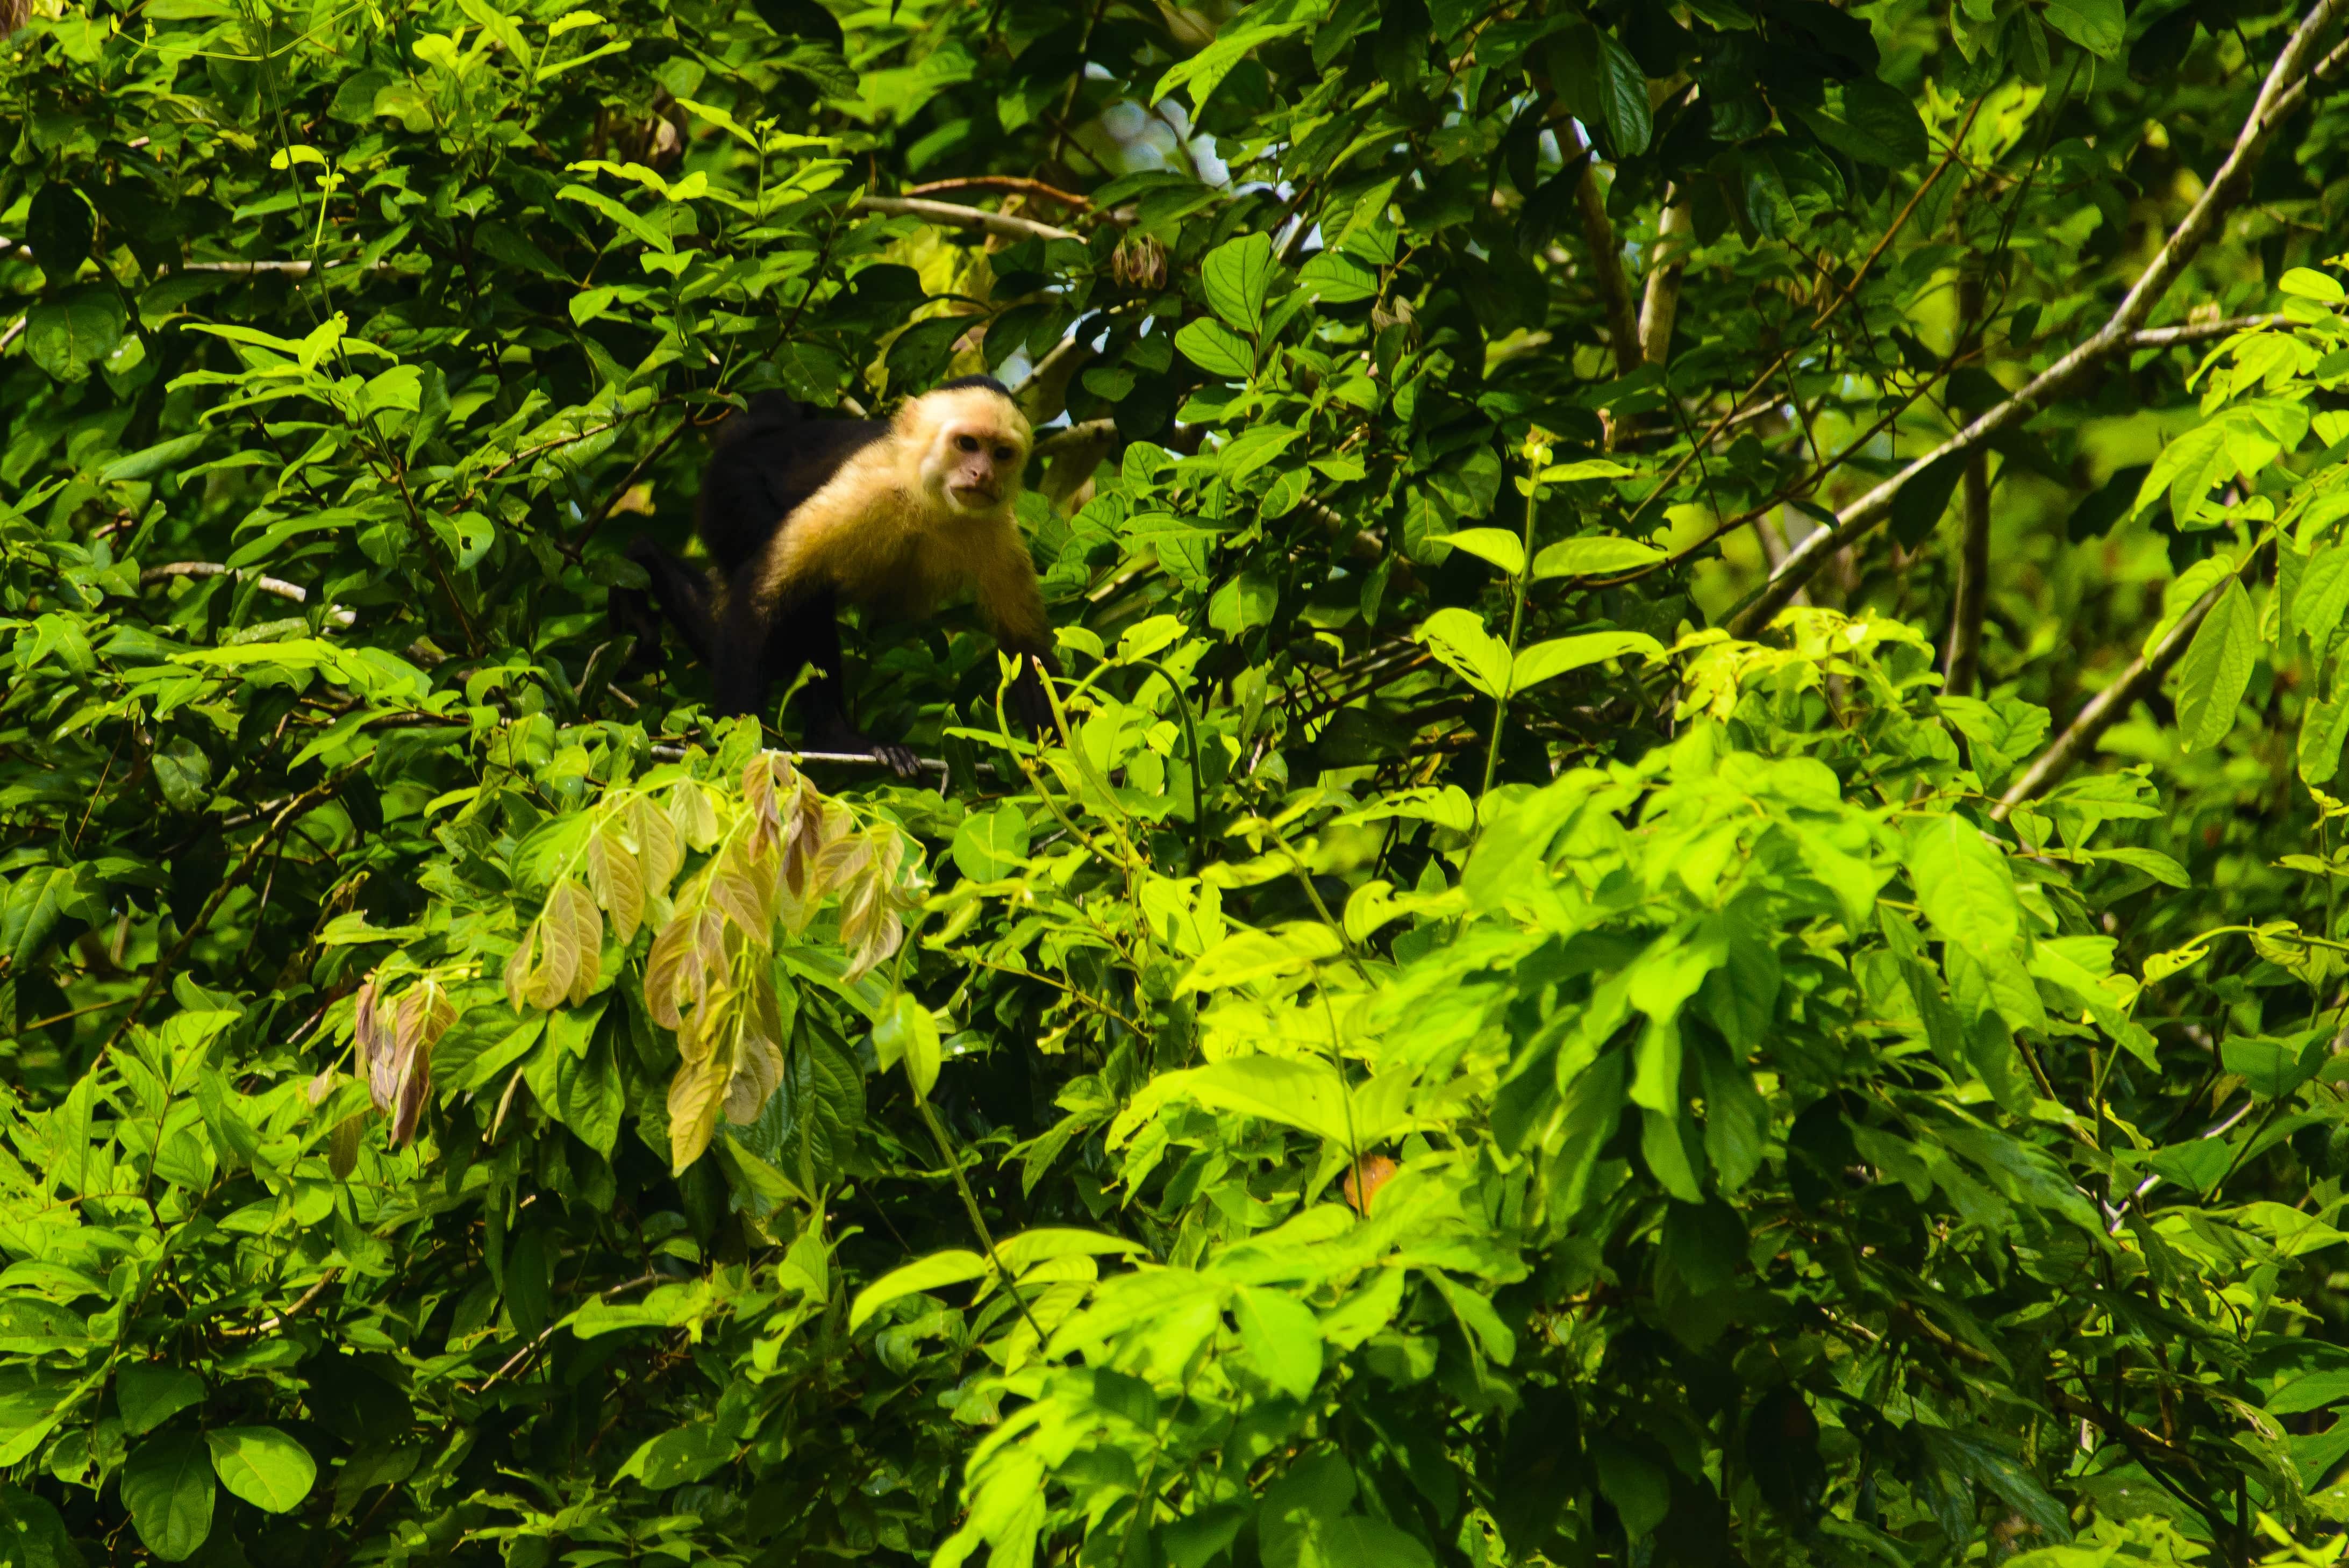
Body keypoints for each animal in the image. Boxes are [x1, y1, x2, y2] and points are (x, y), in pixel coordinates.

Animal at [620, 375, 1071, 779]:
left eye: (1001, 453)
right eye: (967, 444)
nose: (982, 474)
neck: (931, 503)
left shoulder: (998, 529)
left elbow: (1027, 655)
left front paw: (1069, 777)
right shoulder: (865, 491)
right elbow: (760, 595)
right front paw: (737, 748)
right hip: (730, 488)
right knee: (798, 601)